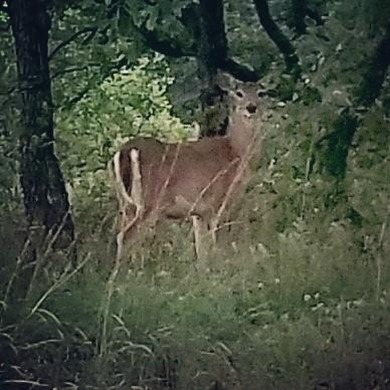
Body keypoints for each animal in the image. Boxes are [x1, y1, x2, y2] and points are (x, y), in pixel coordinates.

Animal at [109, 73, 268, 266]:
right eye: (239, 93)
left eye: (261, 93)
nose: (251, 108)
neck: (236, 153)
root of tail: (124, 151)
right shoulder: (219, 201)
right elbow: (215, 243)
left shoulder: (198, 212)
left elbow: (201, 249)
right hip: (149, 201)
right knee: (125, 237)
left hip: (126, 203)